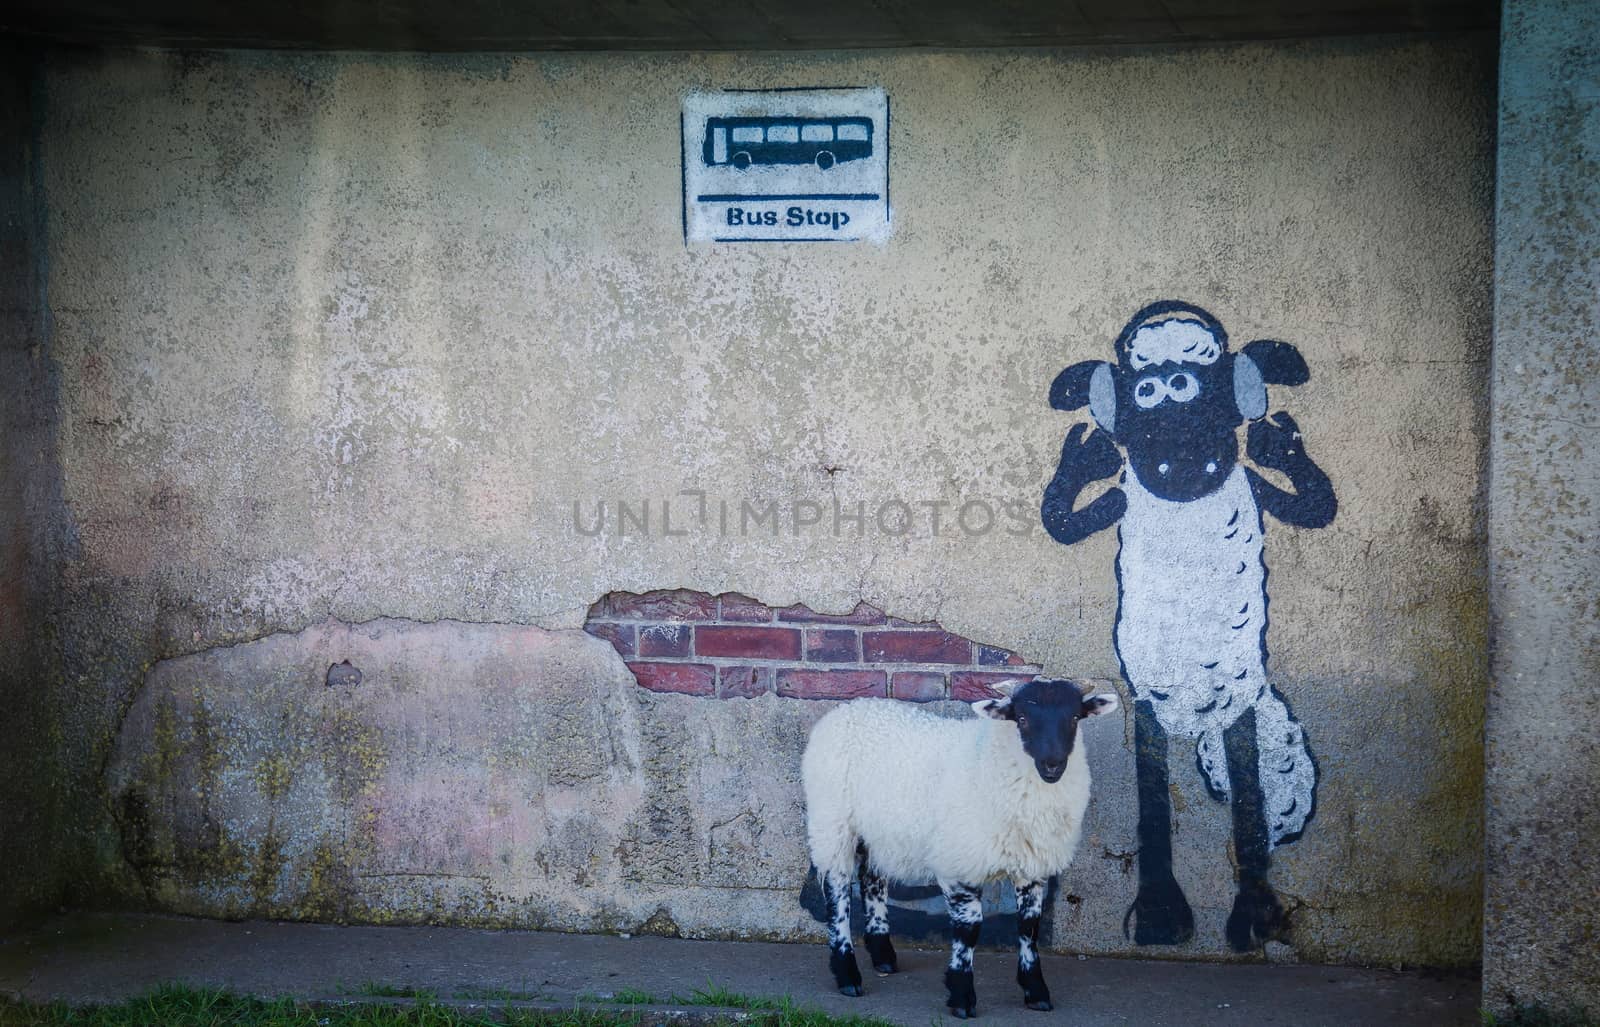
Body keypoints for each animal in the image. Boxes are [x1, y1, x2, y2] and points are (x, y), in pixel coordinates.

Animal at [796, 671, 1120, 1017]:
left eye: (1074, 718)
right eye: (1021, 719)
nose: (1052, 765)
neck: (991, 758)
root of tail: (848, 708)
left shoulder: (1032, 866)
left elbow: (1029, 927)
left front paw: (1036, 991)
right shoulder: (959, 862)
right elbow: (969, 930)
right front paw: (962, 996)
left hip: (878, 829)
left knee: (872, 880)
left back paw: (883, 956)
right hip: (832, 822)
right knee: (837, 895)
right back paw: (847, 974)